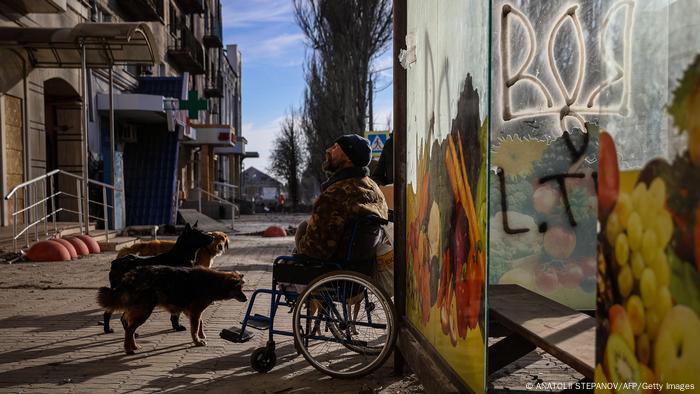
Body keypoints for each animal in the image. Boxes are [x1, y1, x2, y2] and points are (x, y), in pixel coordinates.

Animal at [97, 264, 246, 354]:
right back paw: (129, 349)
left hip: (138, 309)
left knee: (128, 324)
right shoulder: (195, 311)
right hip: (144, 311)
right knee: (129, 329)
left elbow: (200, 323)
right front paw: (197, 341)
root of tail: (132, 275)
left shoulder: (190, 311)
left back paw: (133, 345)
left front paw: (201, 335)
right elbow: (195, 327)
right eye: (239, 289)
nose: (246, 299)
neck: (213, 282)